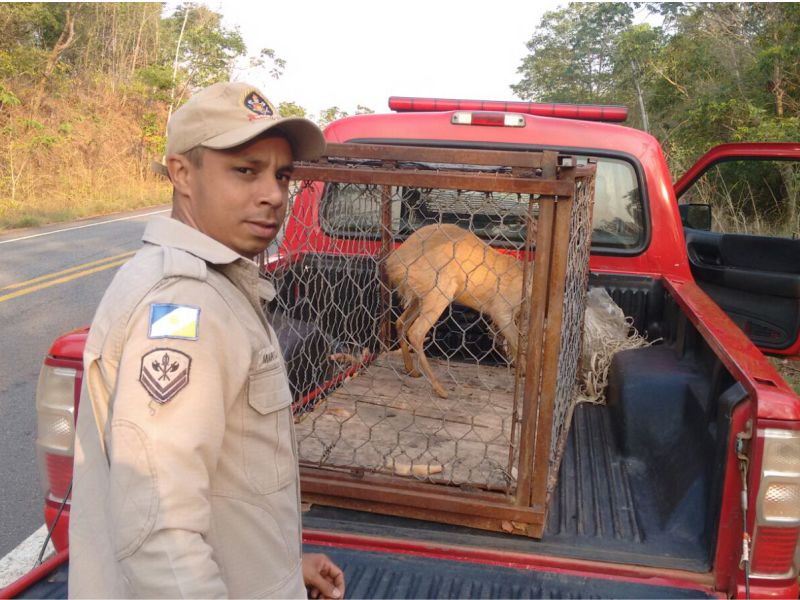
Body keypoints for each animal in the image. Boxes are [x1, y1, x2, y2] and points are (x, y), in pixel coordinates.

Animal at [384, 224, 528, 398]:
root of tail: (393, 264)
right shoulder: (502, 311)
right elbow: (517, 342)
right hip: (440, 293)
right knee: (416, 332)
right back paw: (440, 389)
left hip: (421, 297)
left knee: (401, 322)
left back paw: (412, 370)